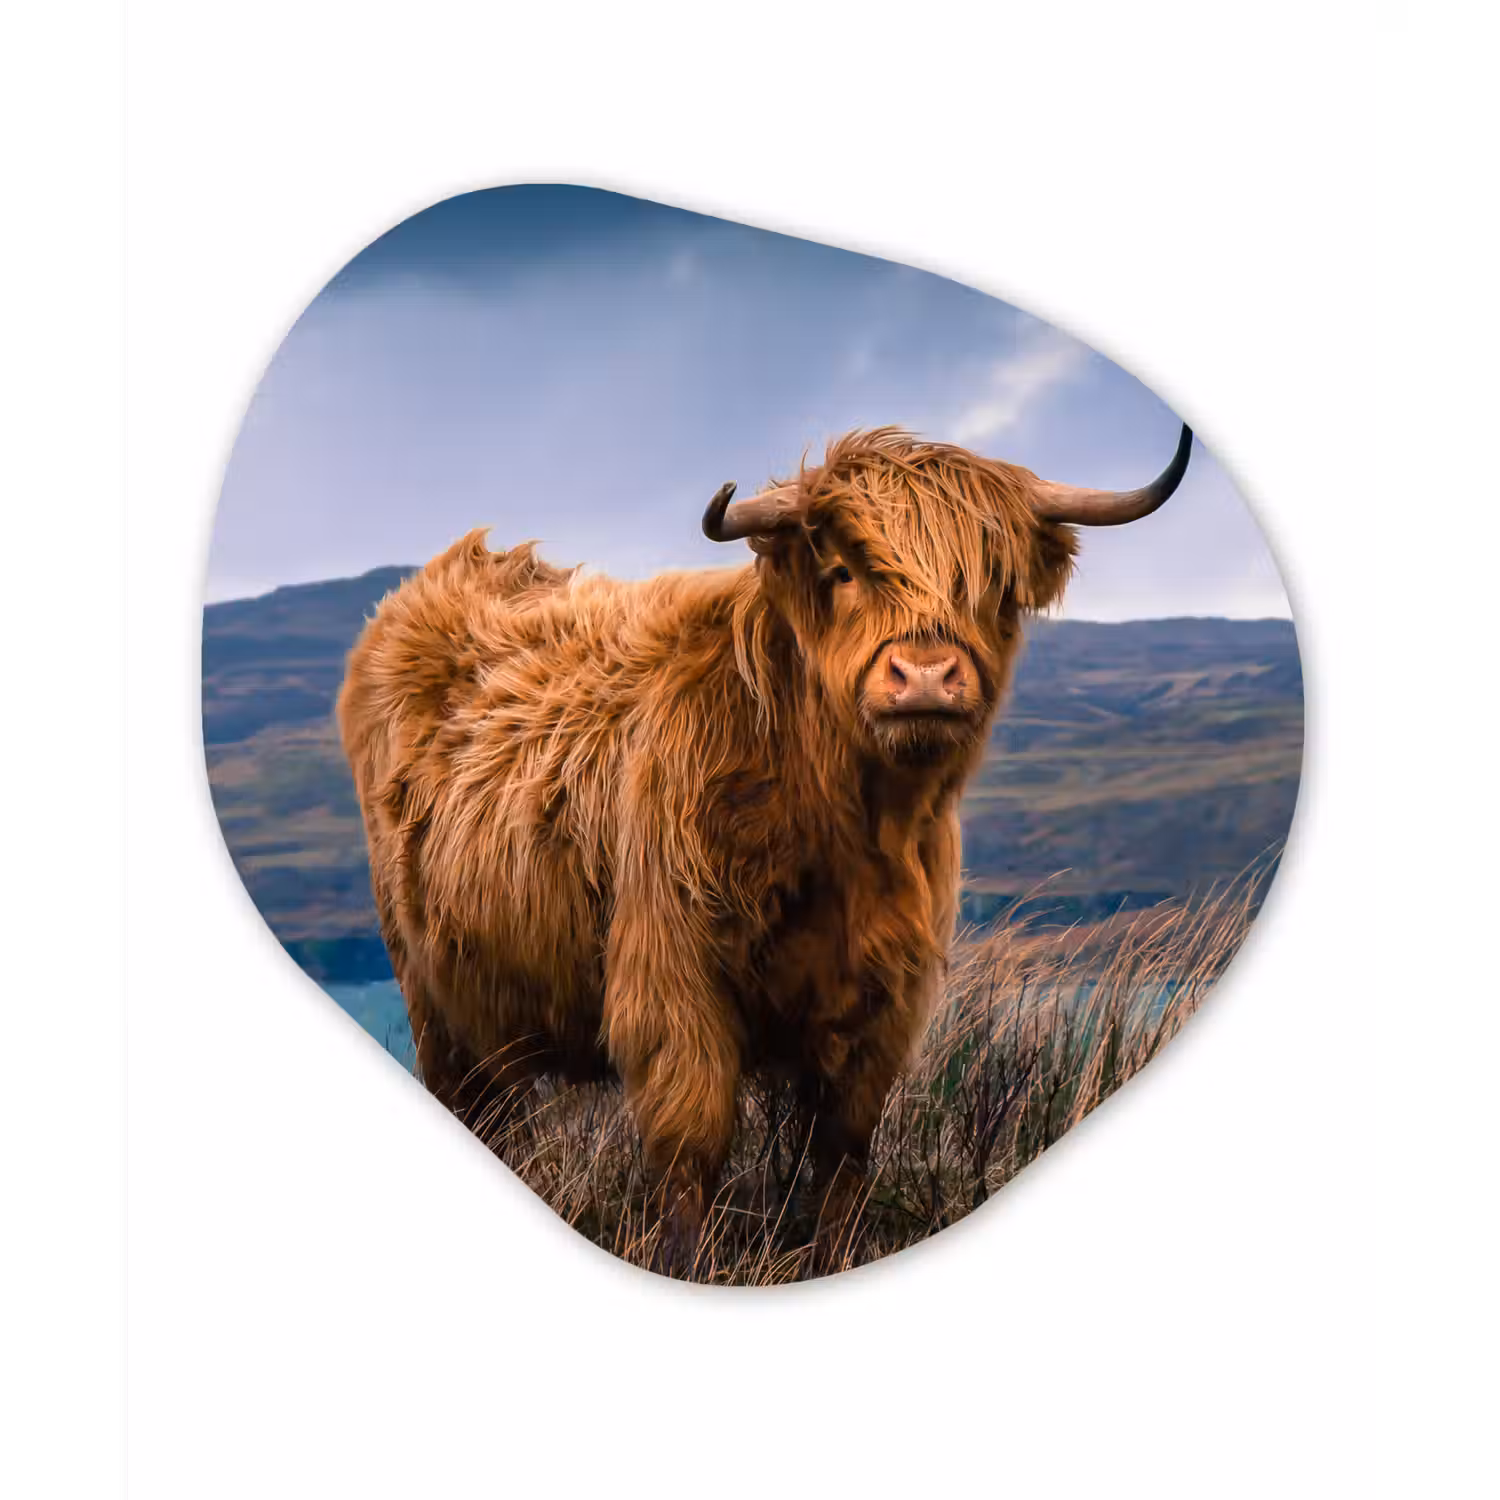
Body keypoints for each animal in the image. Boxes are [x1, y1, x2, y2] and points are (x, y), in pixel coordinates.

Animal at [336, 422, 1192, 1274]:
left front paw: (834, 1257)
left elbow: (844, 1150)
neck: (843, 828)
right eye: (843, 571)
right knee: (470, 1097)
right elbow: (691, 1145)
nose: (923, 677)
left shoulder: (885, 999)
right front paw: (690, 1264)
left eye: (992, 586)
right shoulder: (672, 980)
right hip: (430, 991)